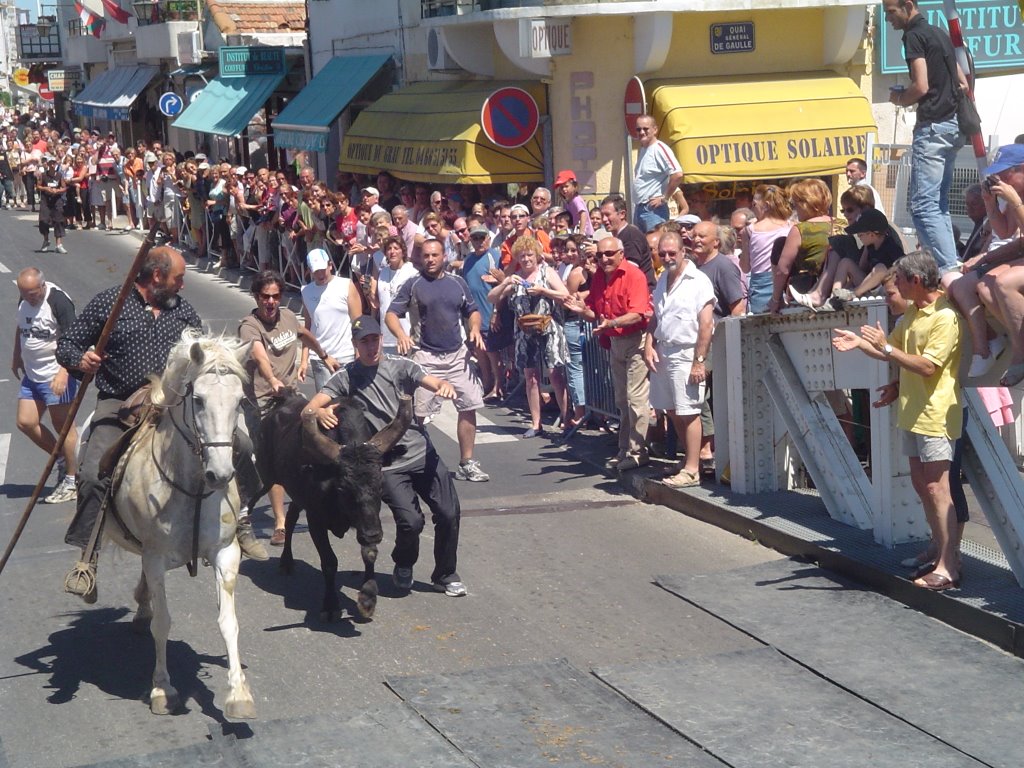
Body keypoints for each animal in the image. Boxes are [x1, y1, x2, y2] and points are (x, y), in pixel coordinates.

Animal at [107, 331, 256, 720]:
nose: (221, 474)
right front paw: (163, 689)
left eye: (240, 401)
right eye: (199, 400)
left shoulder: (226, 553)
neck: (193, 488)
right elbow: (163, 623)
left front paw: (239, 694)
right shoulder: (156, 558)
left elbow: (229, 622)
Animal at [253, 393, 409, 622]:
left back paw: (287, 561)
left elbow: (369, 553)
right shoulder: (316, 520)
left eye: (380, 483)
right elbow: (329, 562)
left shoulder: (367, 520)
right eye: (343, 487)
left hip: (296, 494)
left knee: (290, 518)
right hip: (266, 478)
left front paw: (368, 599)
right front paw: (330, 605)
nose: (373, 534)